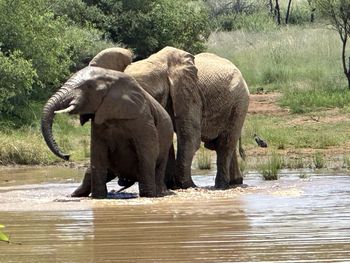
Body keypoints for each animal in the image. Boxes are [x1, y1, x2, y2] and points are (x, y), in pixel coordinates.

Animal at [41, 66, 174, 198]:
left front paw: (148, 195)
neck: (112, 77)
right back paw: (74, 195)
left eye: (89, 86)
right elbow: (97, 151)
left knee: (159, 166)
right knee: (90, 172)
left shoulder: (143, 119)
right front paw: (98, 197)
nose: (67, 156)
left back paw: (161, 193)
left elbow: (147, 150)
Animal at [83, 47, 250, 192]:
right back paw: (235, 182)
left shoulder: (189, 93)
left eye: (155, 95)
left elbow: (190, 137)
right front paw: (171, 186)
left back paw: (221, 186)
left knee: (225, 143)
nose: (122, 182)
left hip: (239, 101)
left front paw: (186, 185)